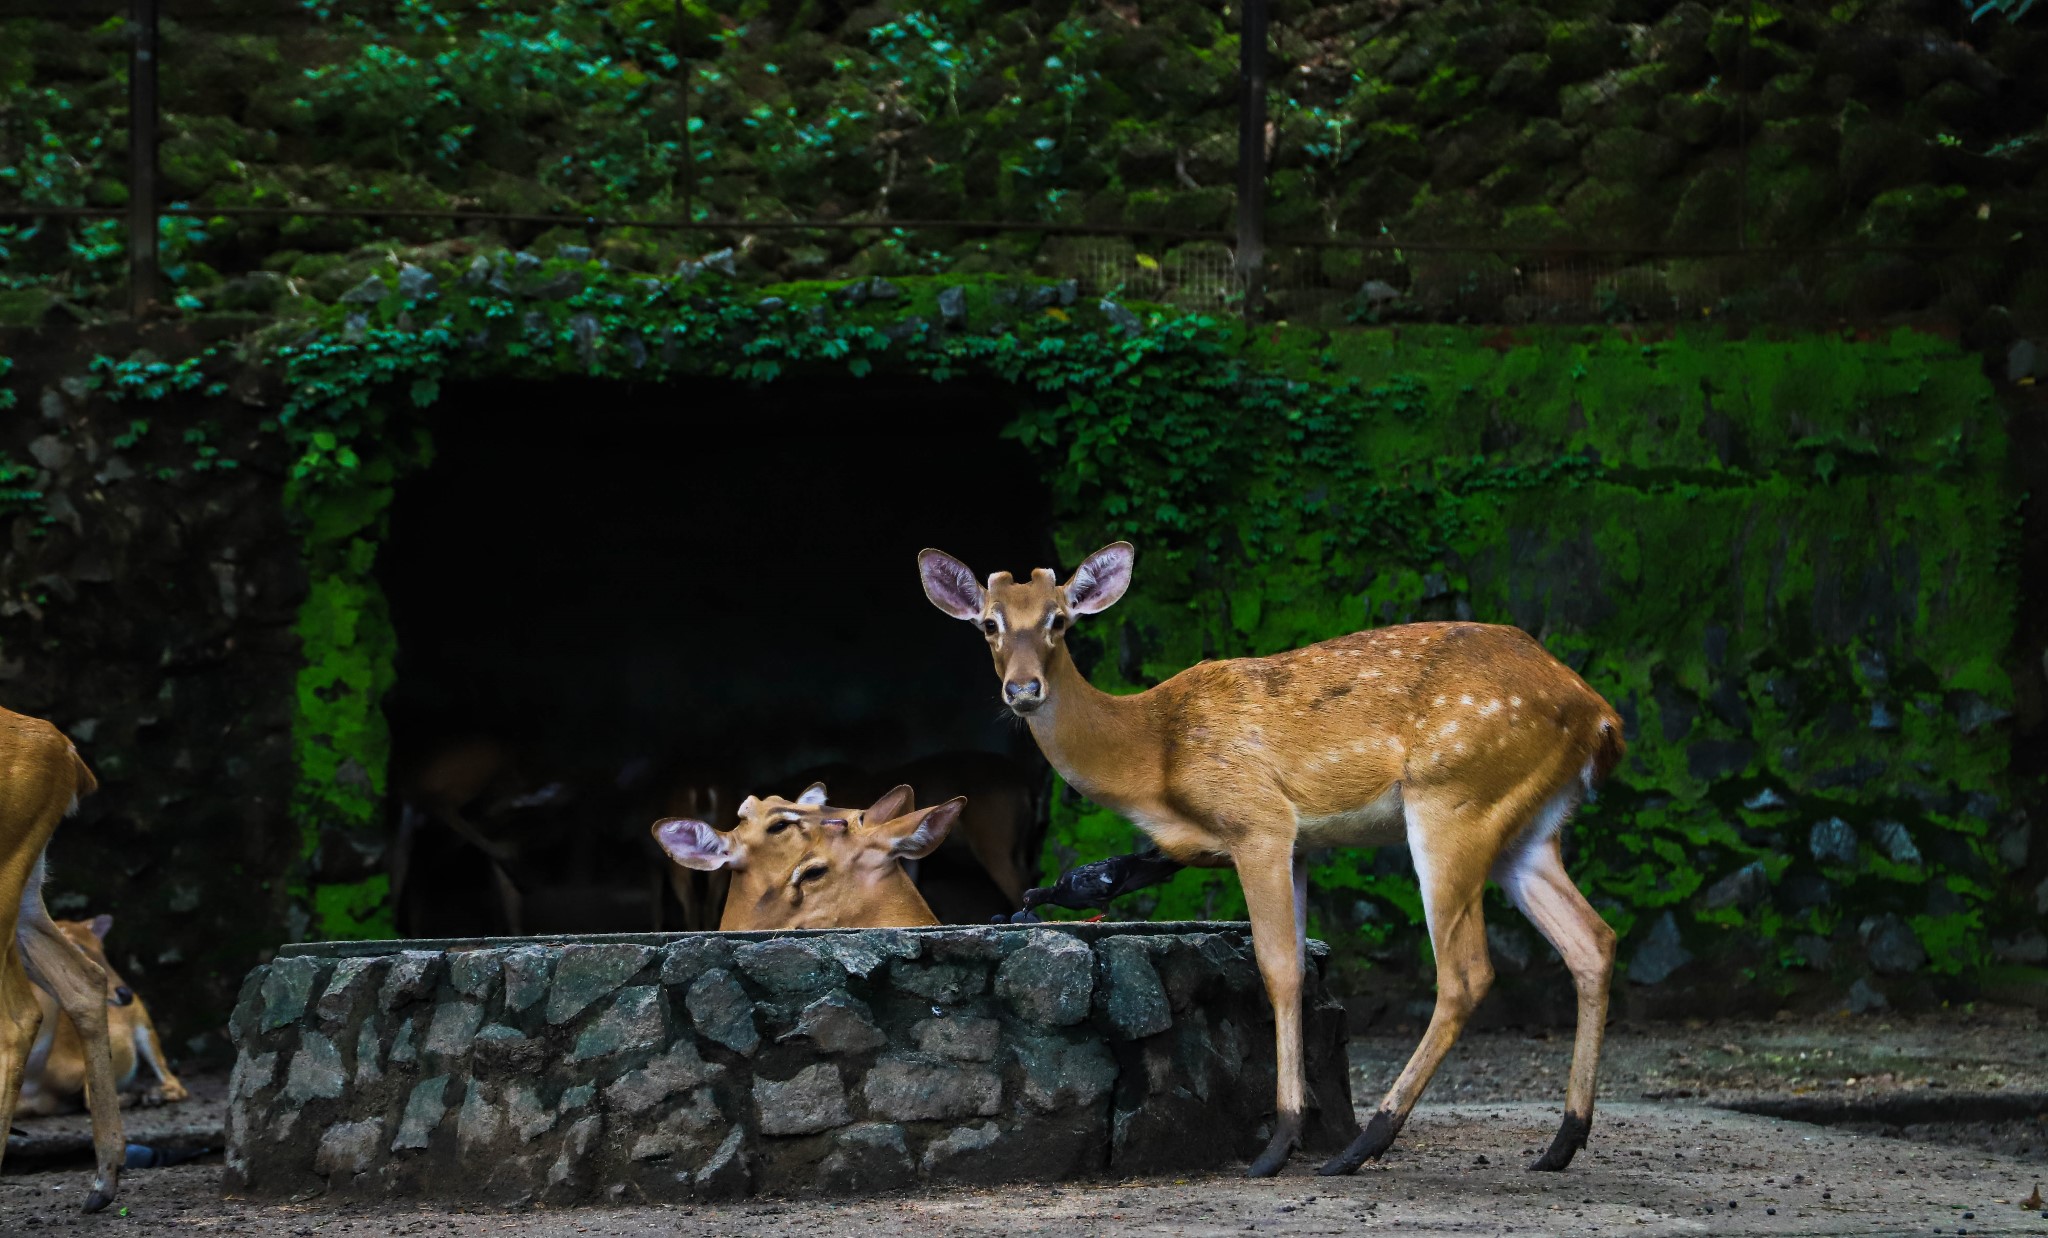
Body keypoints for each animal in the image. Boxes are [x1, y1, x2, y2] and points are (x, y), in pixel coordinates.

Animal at [921, 541, 1622, 1180]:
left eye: (1059, 619)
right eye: (989, 623)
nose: (1023, 688)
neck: (1154, 756)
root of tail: (1601, 717)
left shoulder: (1258, 821)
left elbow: (1279, 969)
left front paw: (1280, 1141)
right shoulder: (1297, 846)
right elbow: (1299, 971)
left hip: (1454, 797)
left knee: (1467, 971)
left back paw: (1363, 1145)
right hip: (1527, 830)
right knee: (1592, 939)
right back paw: (1560, 1143)